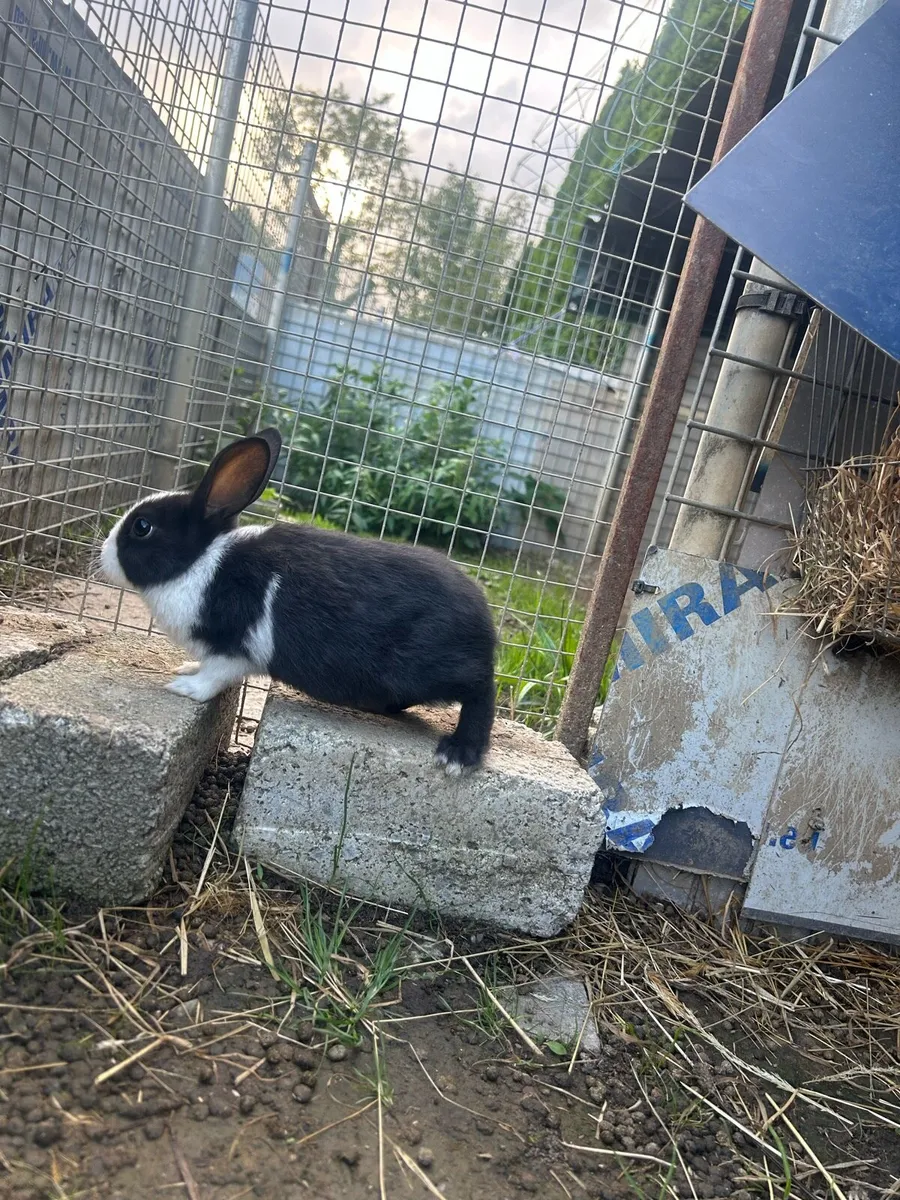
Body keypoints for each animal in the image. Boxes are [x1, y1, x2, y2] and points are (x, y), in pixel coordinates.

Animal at [99, 429, 496, 774]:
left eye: (142, 527)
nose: (102, 553)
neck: (200, 562)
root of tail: (486, 626)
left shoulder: (233, 650)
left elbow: (215, 677)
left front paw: (185, 688)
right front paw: (186, 669)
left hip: (435, 666)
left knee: (481, 692)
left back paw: (458, 755)